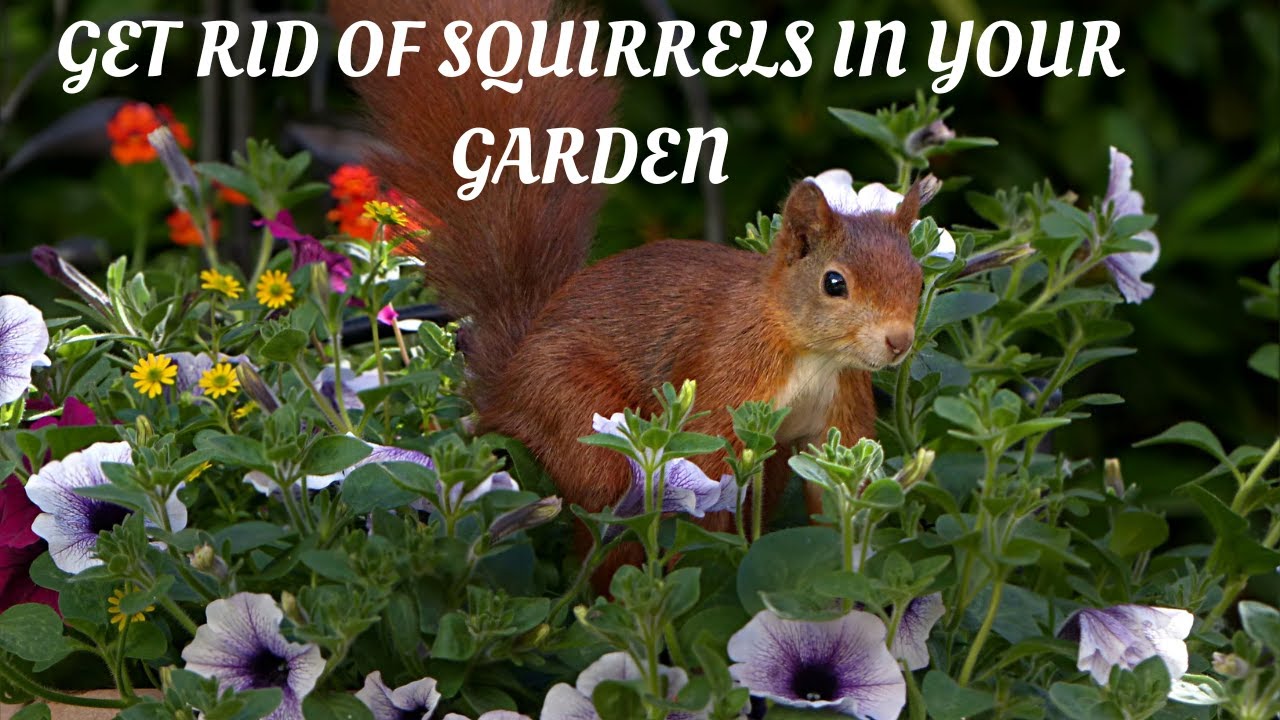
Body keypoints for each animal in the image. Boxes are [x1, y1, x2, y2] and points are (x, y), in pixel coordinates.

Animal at [330, 0, 925, 580]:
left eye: (918, 279)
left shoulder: (838, 414)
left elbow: (842, 496)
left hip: (768, 458)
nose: (899, 341)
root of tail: (505, 385)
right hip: (575, 413)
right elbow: (705, 479)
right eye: (834, 283)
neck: (810, 355)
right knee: (602, 518)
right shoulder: (726, 380)